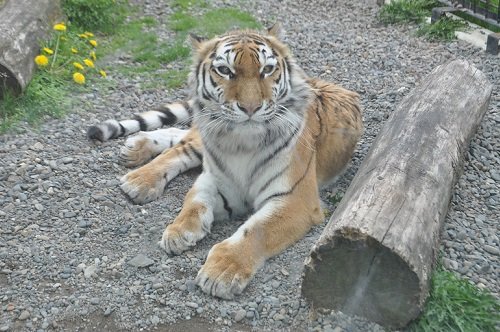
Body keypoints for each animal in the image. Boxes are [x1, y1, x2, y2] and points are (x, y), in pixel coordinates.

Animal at [88, 24, 362, 300]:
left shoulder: (296, 200)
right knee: (182, 145)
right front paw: (178, 231)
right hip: (207, 130)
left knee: (182, 136)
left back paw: (136, 148)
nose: (250, 108)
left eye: (267, 69)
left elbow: (258, 229)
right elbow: (194, 201)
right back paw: (139, 175)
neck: (241, 143)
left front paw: (223, 270)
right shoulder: (216, 179)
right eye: (225, 71)